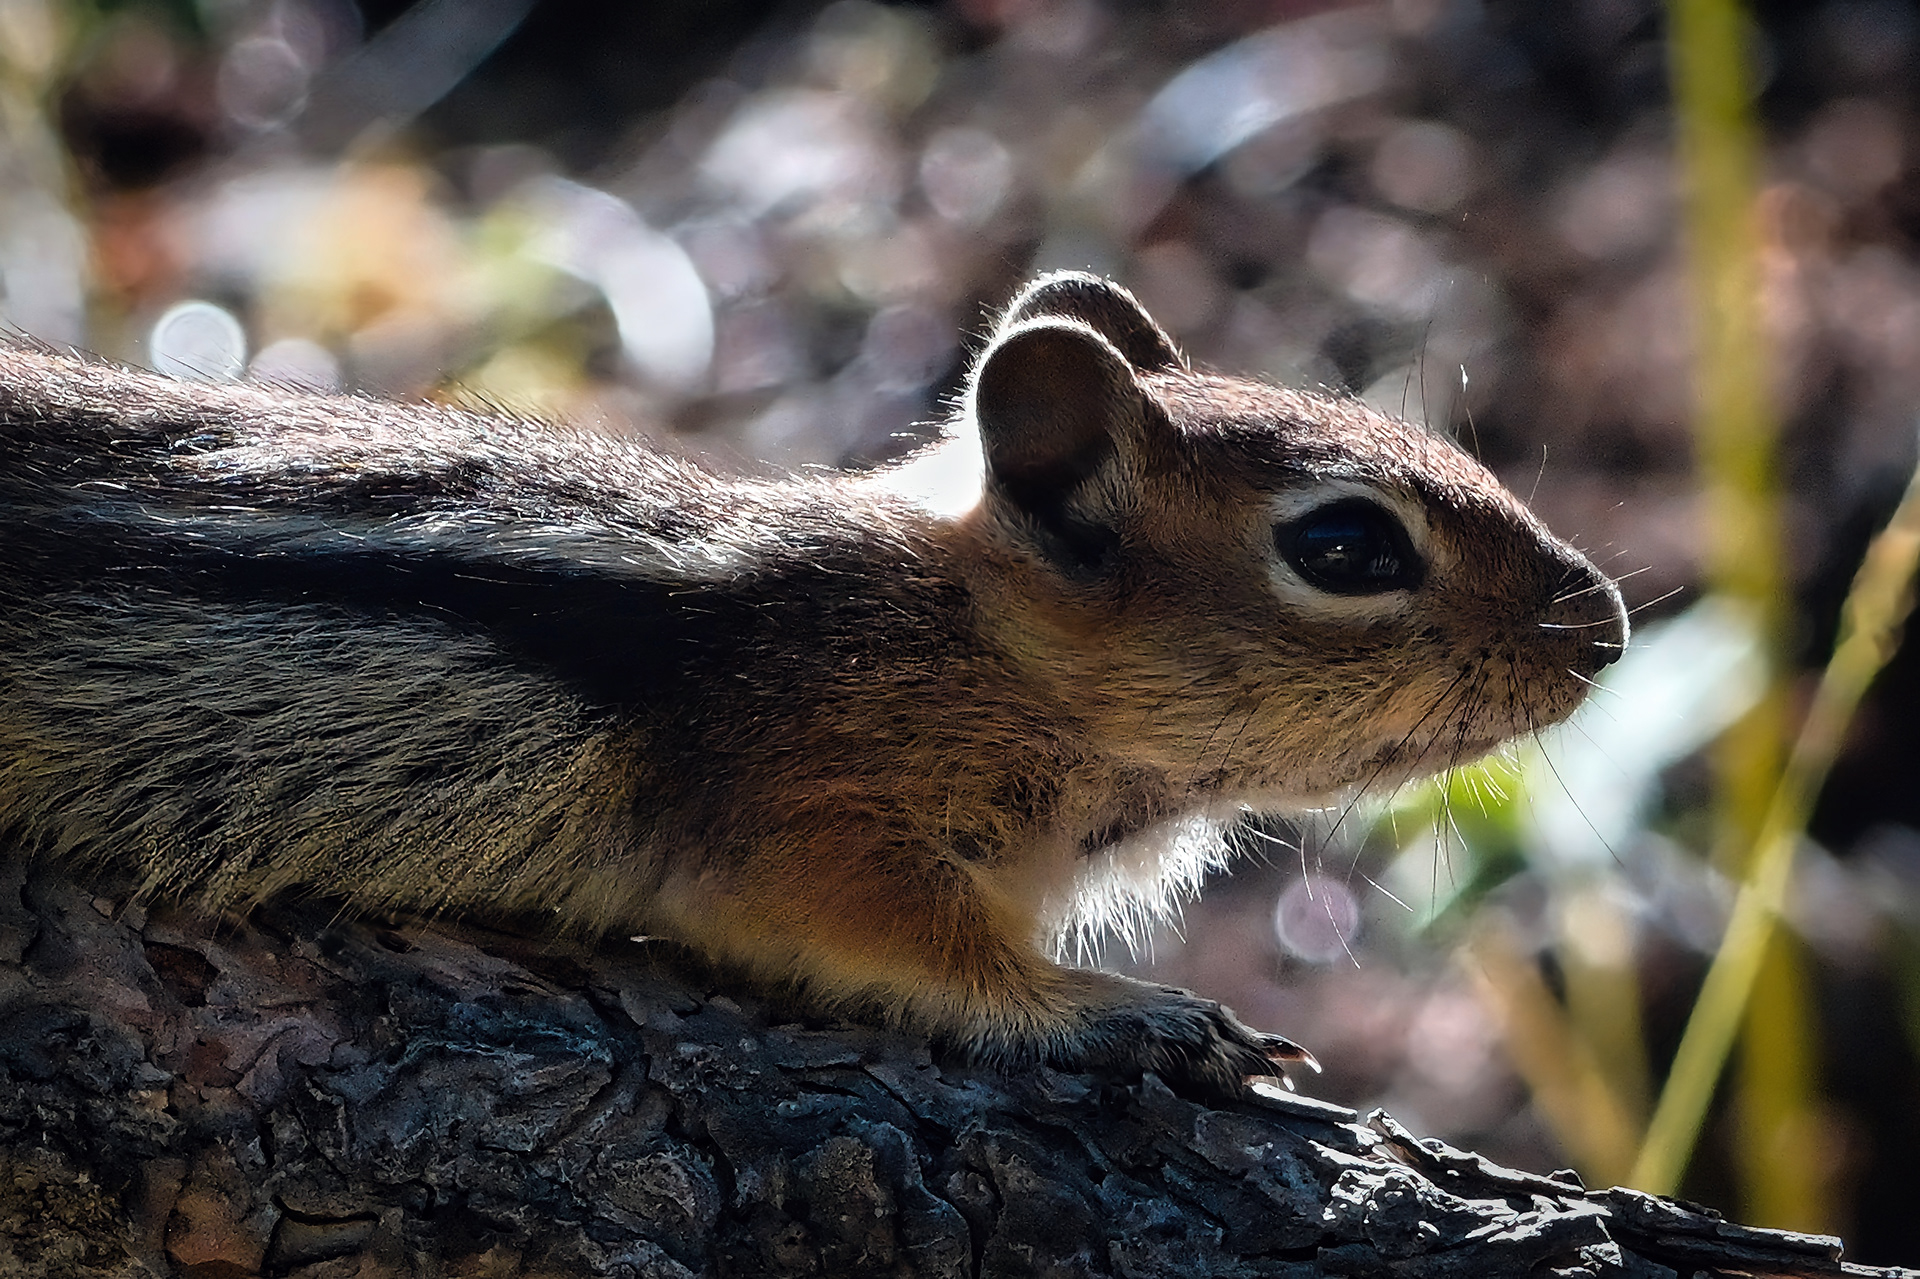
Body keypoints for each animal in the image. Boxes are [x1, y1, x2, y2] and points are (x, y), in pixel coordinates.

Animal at [0, 272, 1626, 1095]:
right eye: (1346, 545)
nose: (1604, 628)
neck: (963, 639)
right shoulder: (819, 807)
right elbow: (898, 943)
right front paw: (1120, 1007)